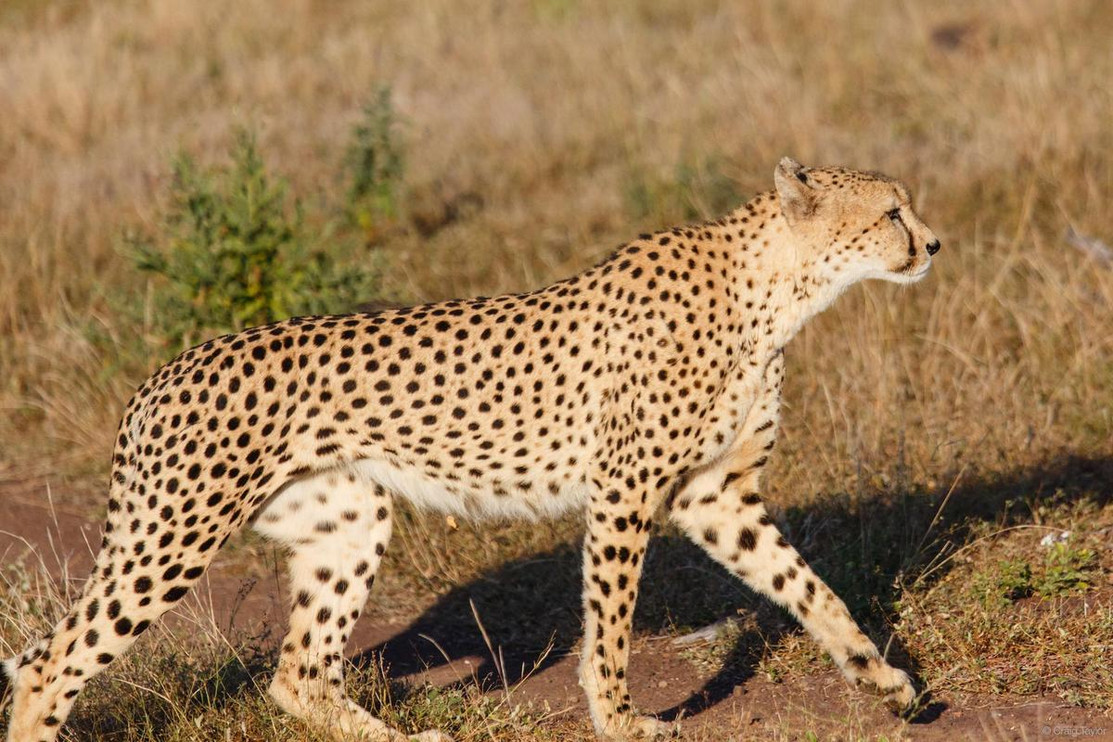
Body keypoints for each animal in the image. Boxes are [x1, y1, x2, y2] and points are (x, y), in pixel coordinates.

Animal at [2, 157, 941, 741]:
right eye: (889, 211)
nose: (932, 243)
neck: (777, 289)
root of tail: (161, 373)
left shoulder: (715, 497)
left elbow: (808, 589)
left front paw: (885, 681)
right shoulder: (625, 492)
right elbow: (610, 624)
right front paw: (621, 718)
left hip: (348, 516)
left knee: (297, 673)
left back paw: (407, 738)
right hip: (175, 533)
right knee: (51, 664)